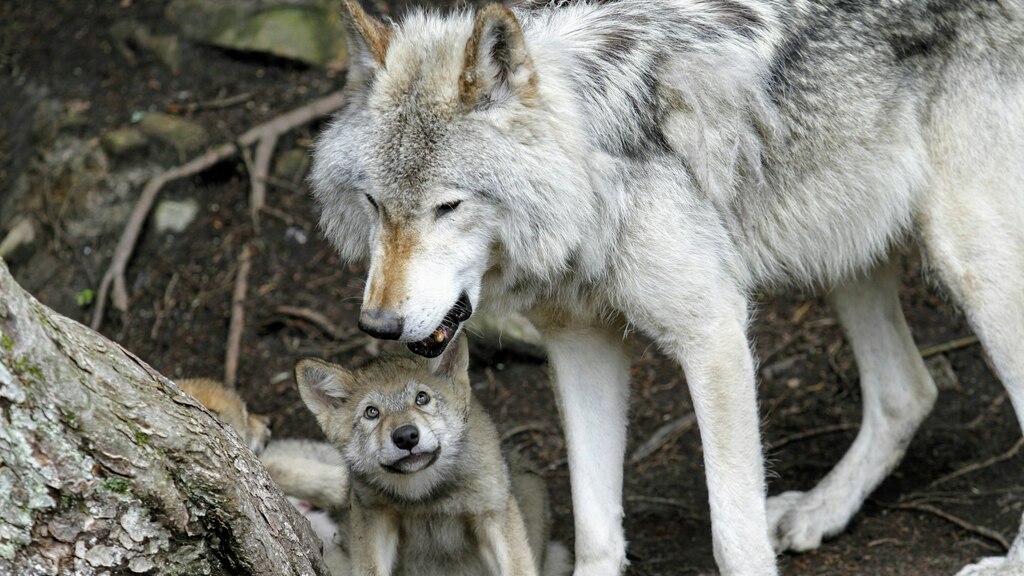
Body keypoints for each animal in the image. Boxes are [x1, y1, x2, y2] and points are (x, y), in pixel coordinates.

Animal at [294, 335, 570, 576]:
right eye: (371, 412)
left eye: (422, 398)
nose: (406, 437)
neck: (426, 496)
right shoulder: (373, 516)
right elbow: (370, 568)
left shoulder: (492, 513)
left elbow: (518, 567)